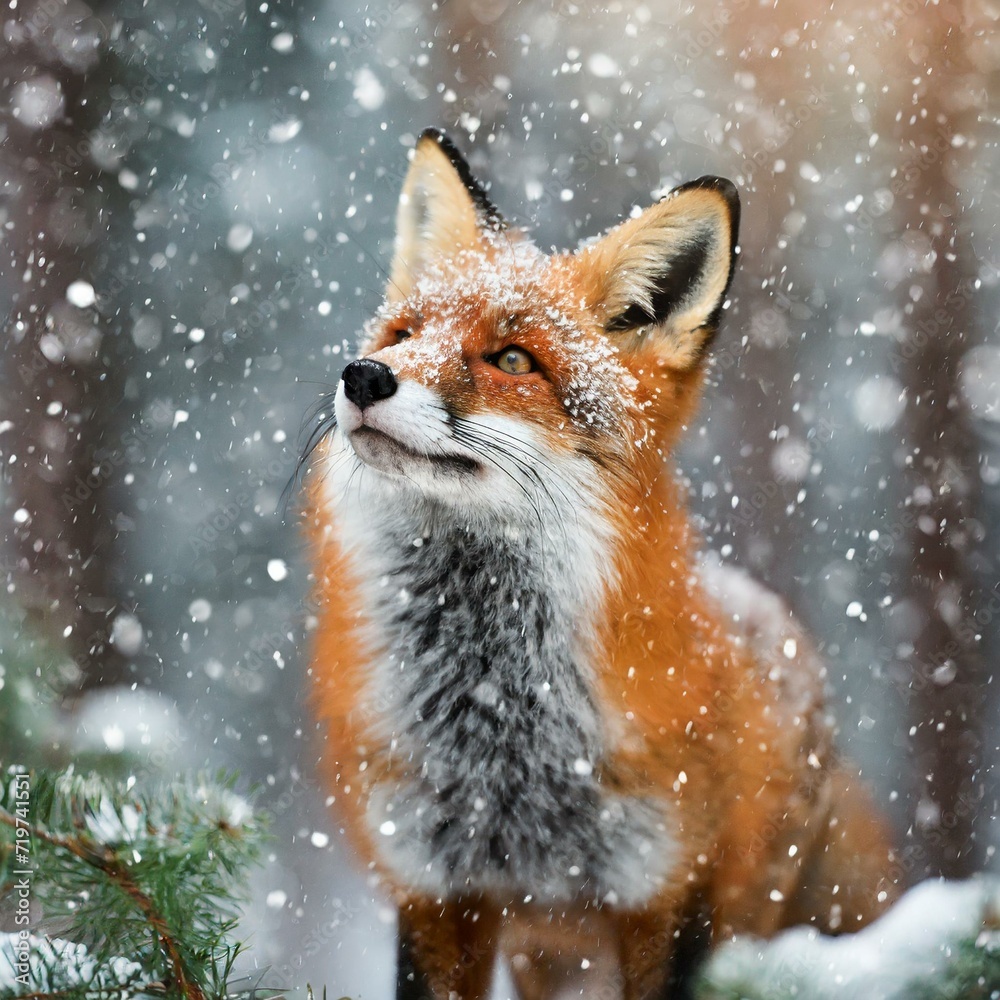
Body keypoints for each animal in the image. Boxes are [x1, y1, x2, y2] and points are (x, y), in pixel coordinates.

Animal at [304, 128, 899, 999]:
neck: (502, 731)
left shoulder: (668, 893)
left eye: (514, 360)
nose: (364, 376)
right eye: (403, 337)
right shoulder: (436, 889)